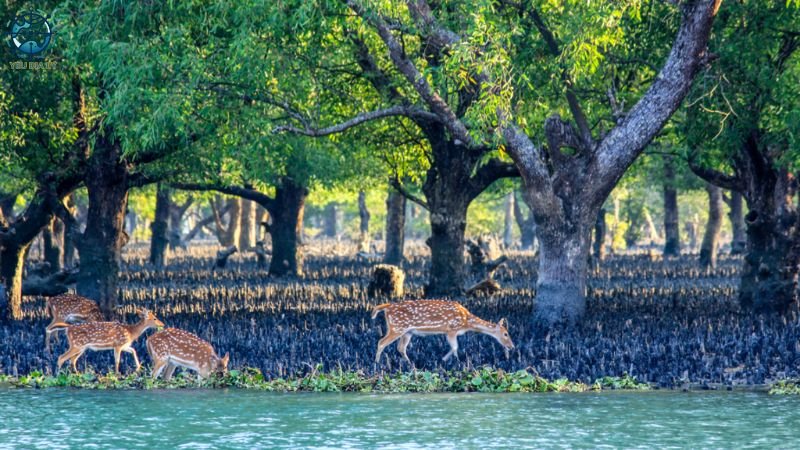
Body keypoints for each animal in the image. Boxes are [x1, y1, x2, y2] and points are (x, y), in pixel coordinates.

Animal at [372, 300, 516, 364]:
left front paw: (444, 360)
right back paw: (377, 363)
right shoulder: (451, 329)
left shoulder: (451, 331)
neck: (466, 322)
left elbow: (454, 347)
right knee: (381, 342)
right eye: (506, 334)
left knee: (401, 347)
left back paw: (410, 363)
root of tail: (387, 307)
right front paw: (455, 361)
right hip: (397, 327)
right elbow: (455, 347)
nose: (512, 346)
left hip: (407, 331)